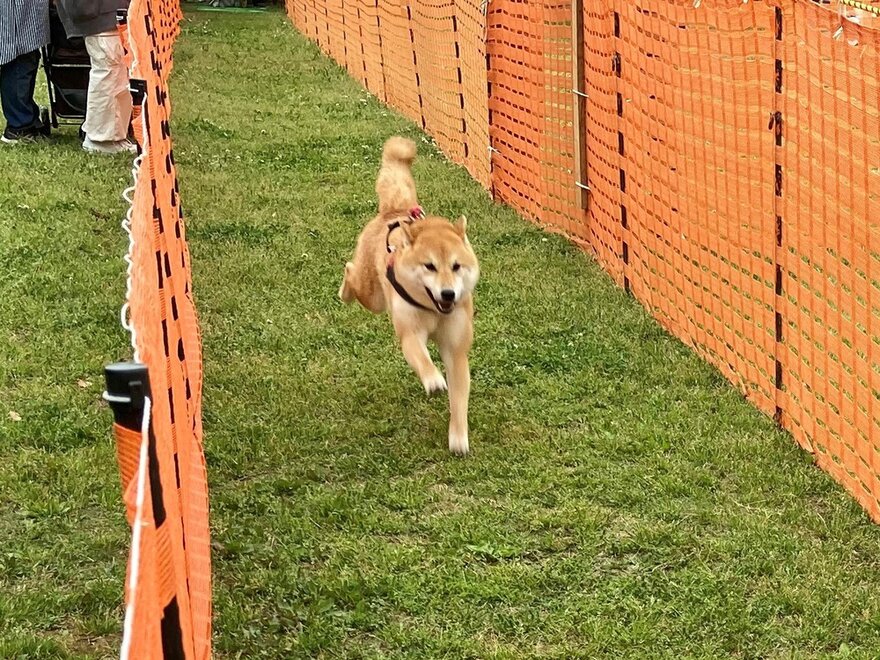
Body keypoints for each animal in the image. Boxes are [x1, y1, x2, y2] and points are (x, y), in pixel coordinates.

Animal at [340, 137, 482, 456]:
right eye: (429, 266)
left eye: (456, 266)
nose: (448, 292)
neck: (433, 310)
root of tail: (395, 211)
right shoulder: (410, 333)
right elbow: (421, 357)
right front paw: (433, 379)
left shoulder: (456, 349)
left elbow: (459, 397)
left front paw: (458, 437)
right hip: (372, 295)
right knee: (350, 271)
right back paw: (344, 291)